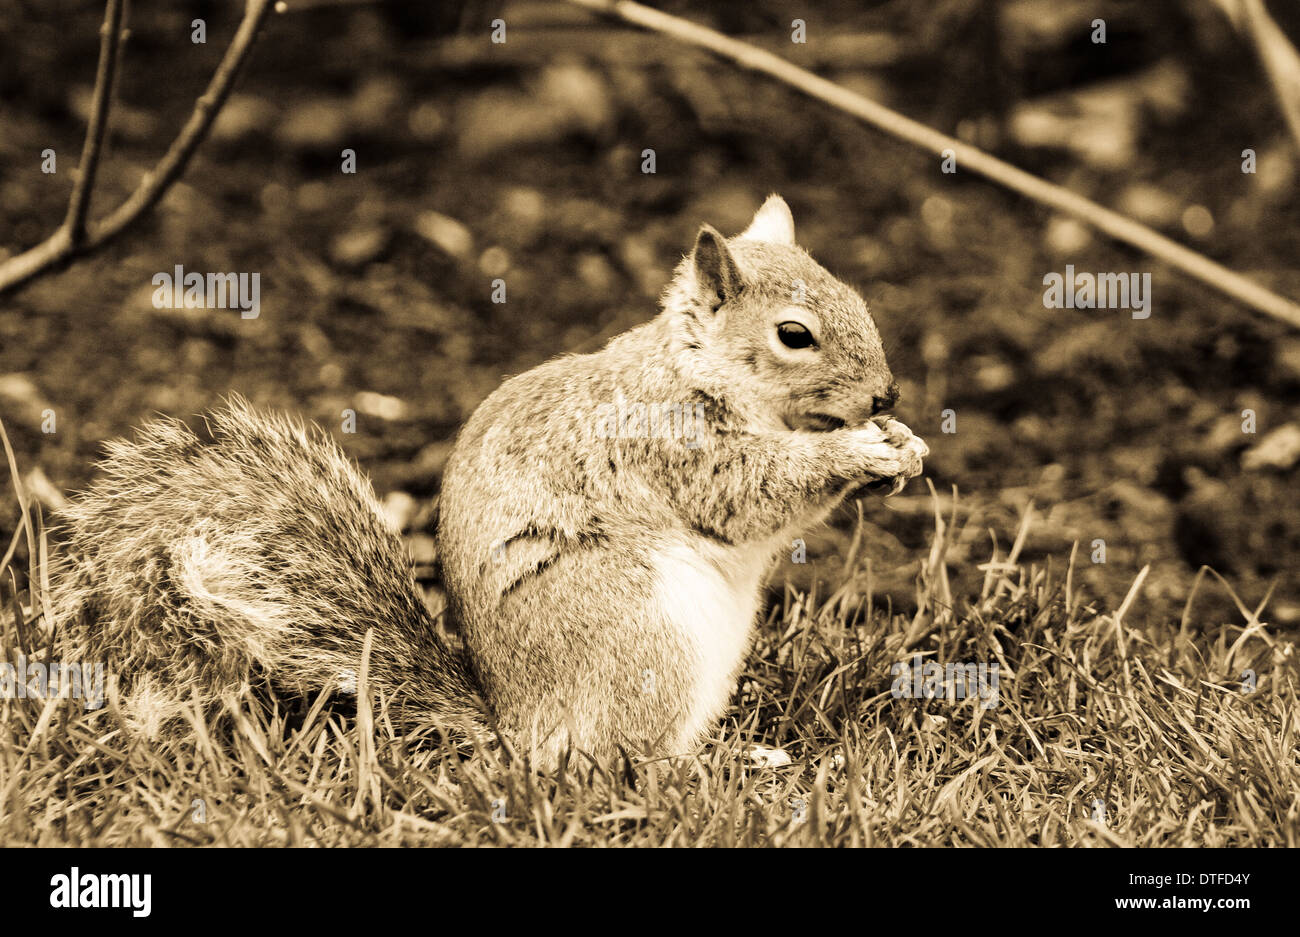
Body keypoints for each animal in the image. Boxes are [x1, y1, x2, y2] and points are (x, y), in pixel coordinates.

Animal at [52, 196, 928, 766]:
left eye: (856, 297)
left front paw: (906, 444)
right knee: (616, 761)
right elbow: (747, 493)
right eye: (794, 335)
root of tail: (516, 727)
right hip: (641, 634)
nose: (886, 395)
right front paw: (859, 453)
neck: (695, 368)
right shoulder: (667, 445)